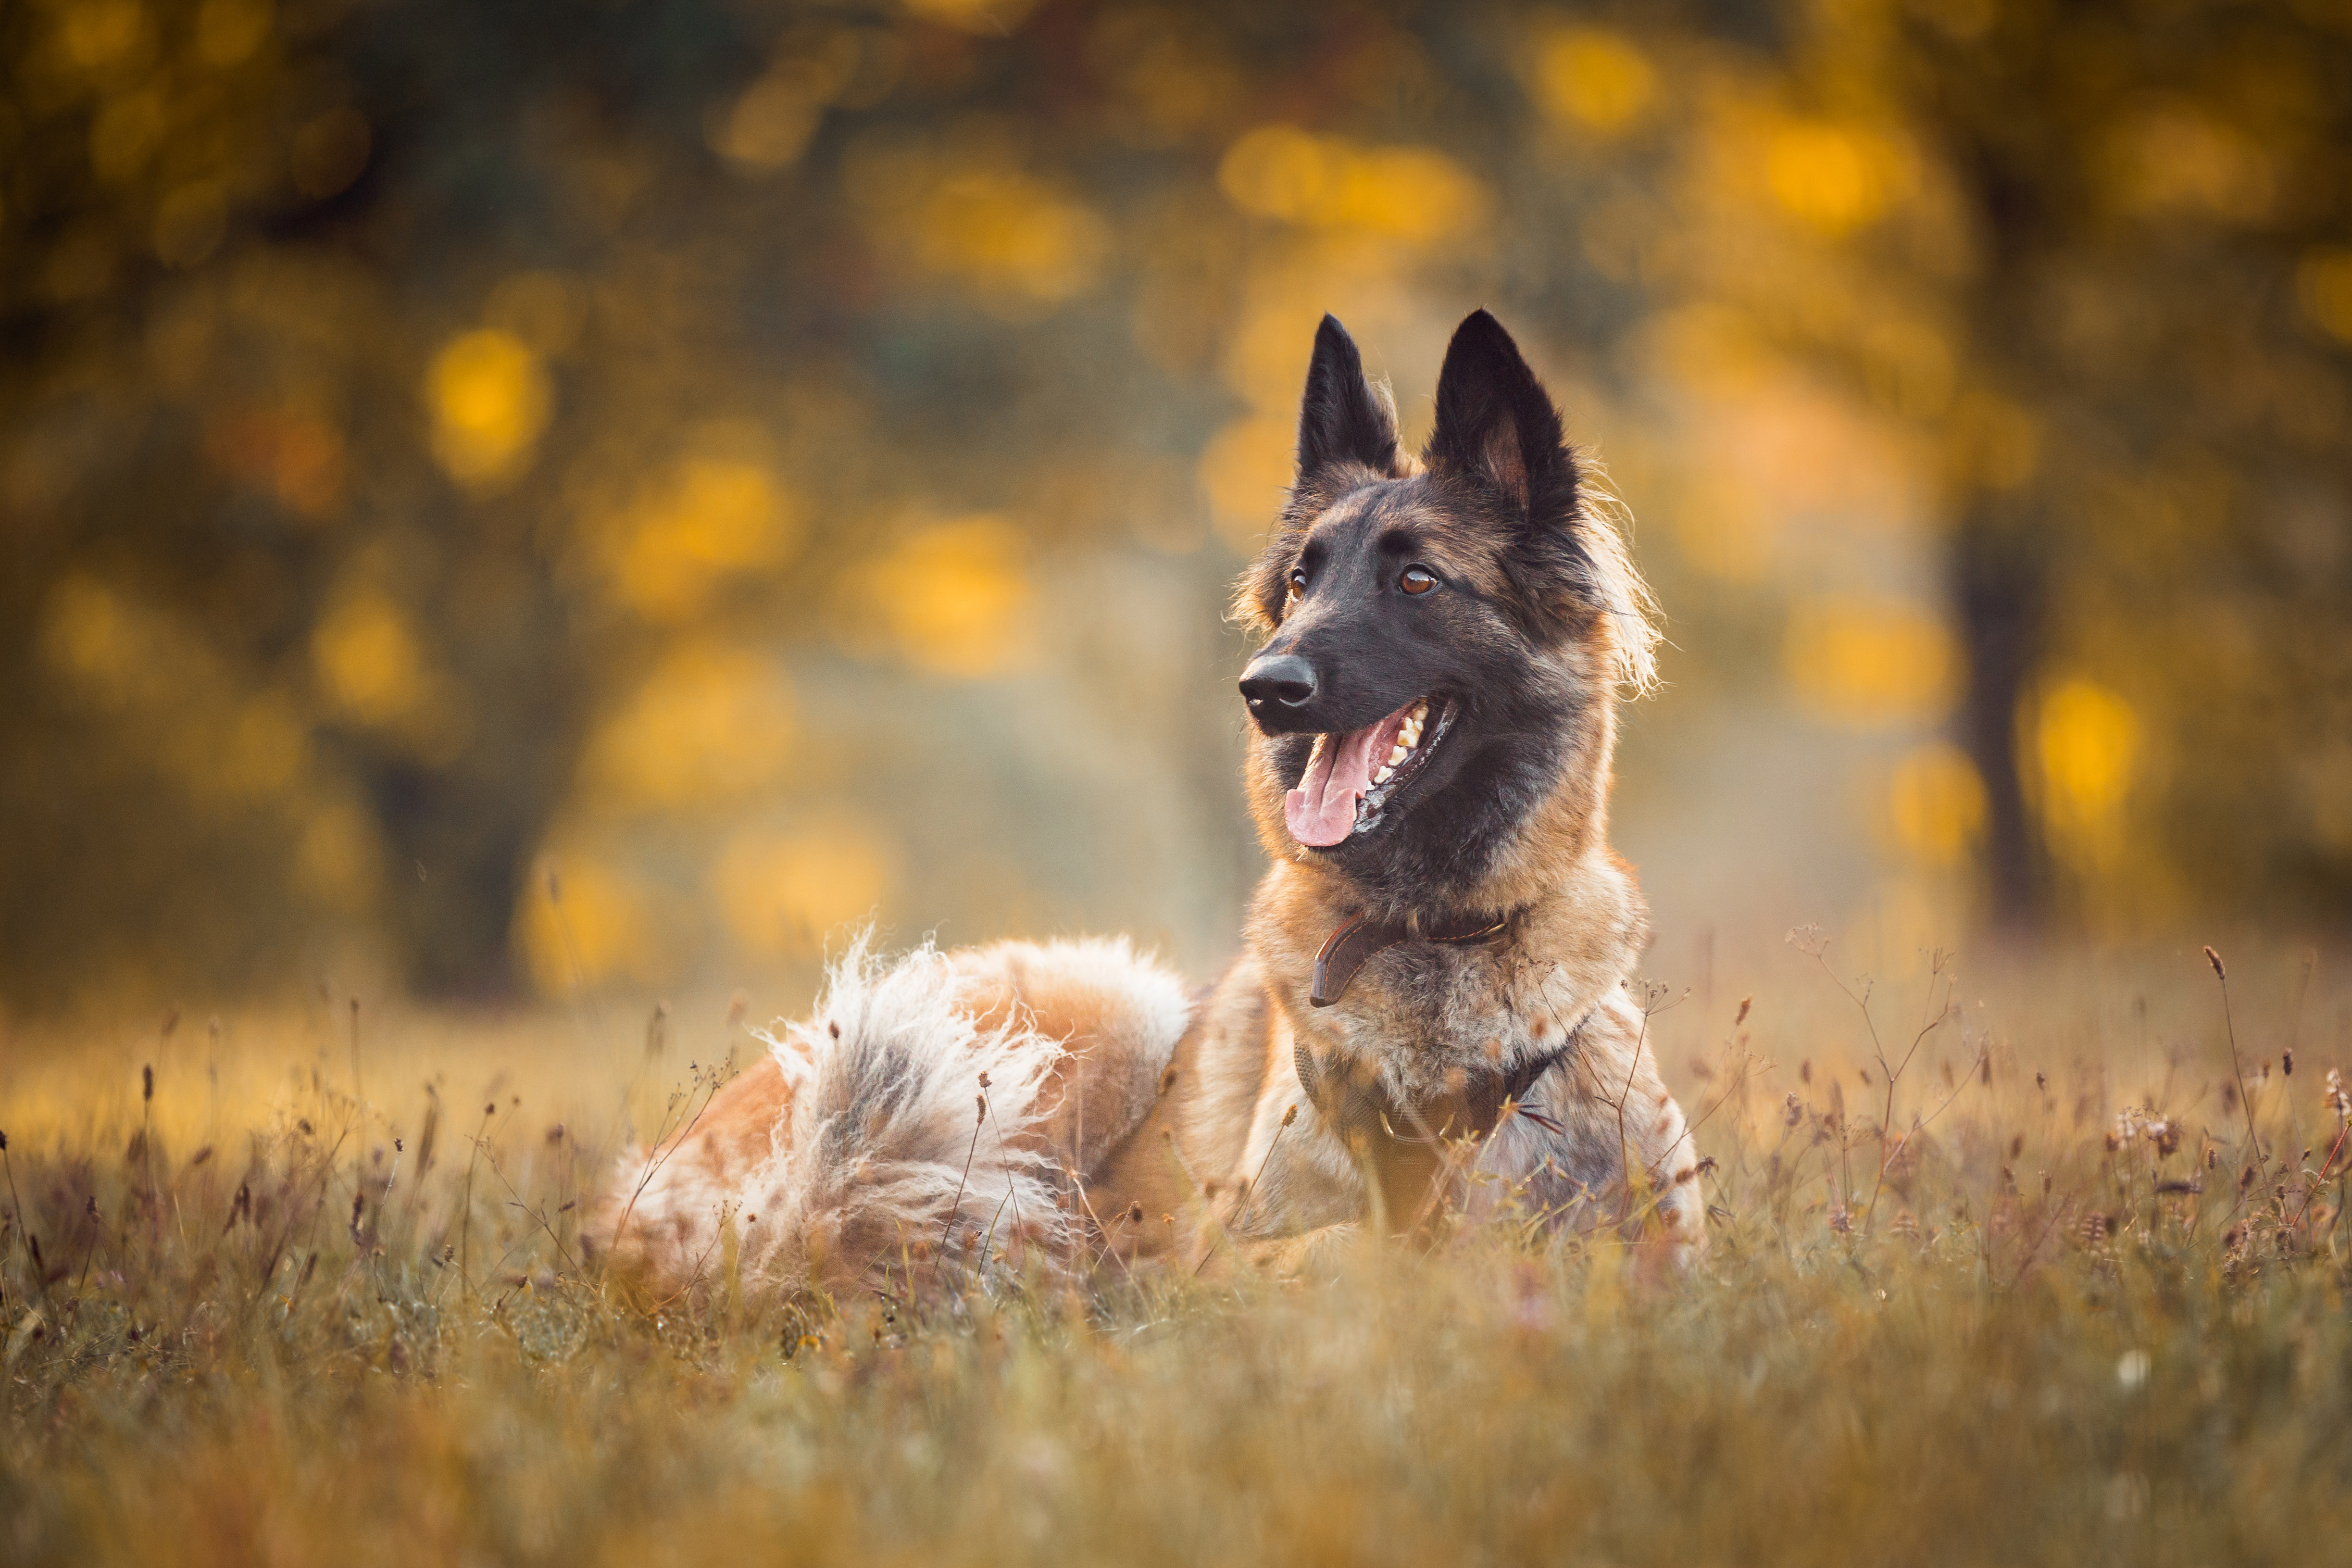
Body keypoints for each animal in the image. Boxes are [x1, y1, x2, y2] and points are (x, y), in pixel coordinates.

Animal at [585, 310, 1693, 1297]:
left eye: (1418, 580)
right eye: (1302, 582)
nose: (1264, 689)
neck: (1439, 935)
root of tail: (637, 1212)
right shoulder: (1238, 1252)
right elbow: (1364, 1249)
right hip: (1097, 1003)